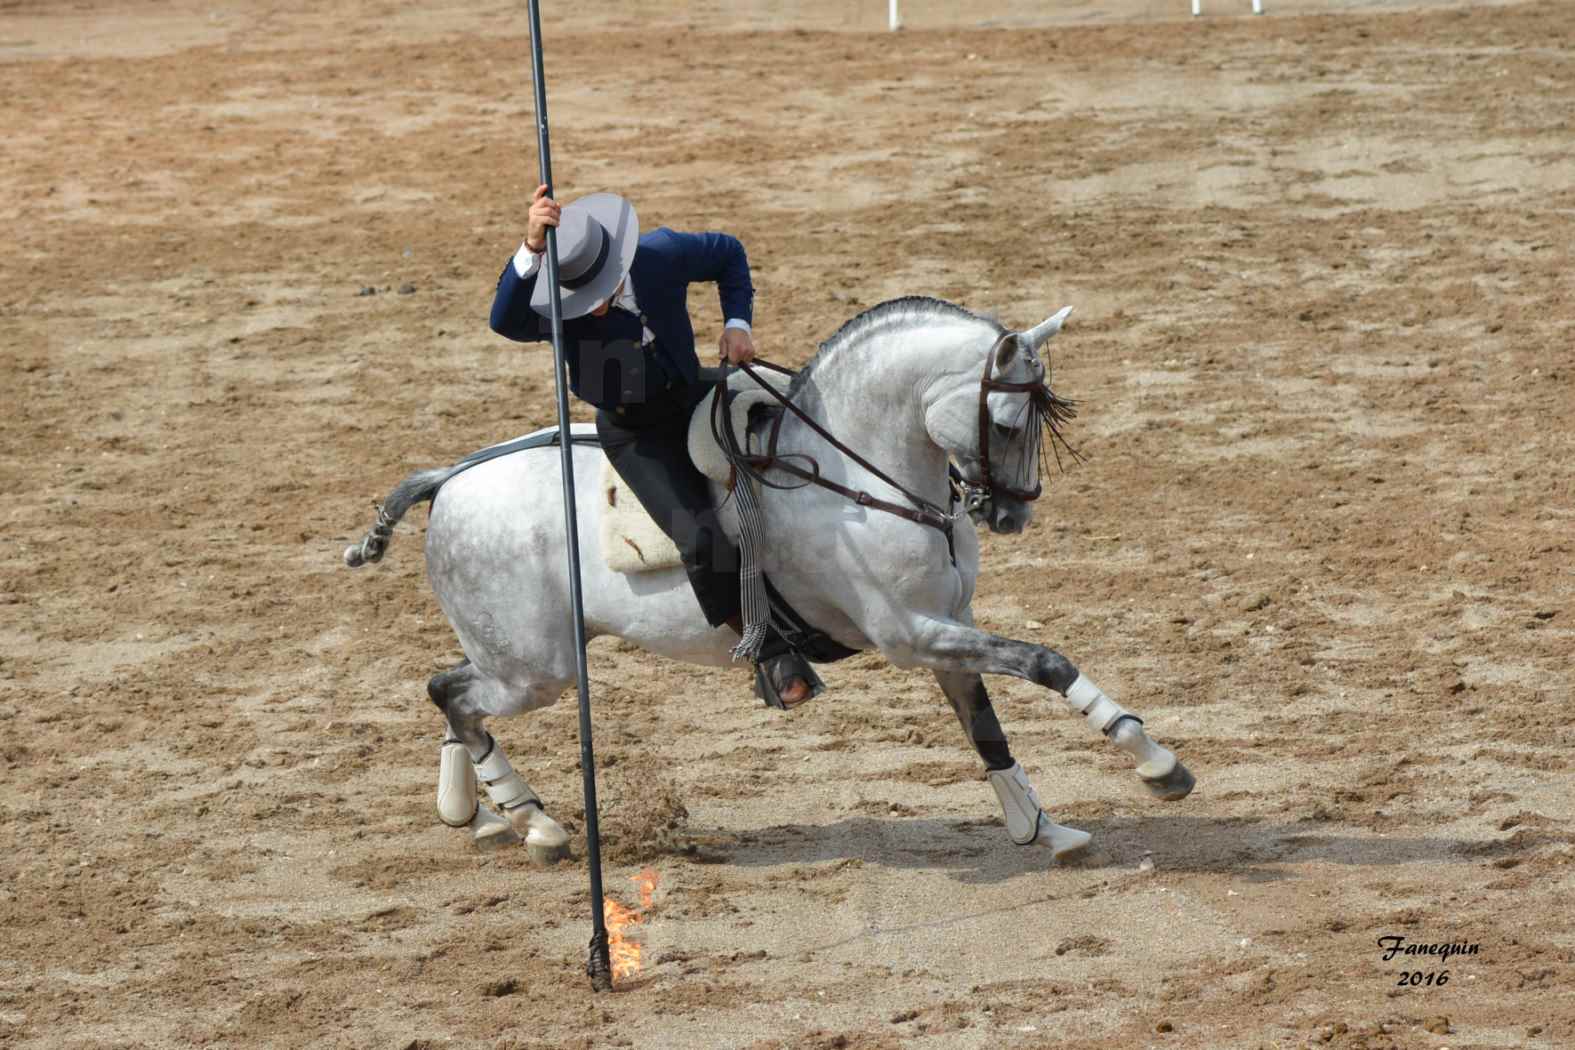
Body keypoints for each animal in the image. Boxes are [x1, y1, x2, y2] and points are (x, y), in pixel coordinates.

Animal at [344, 295, 1190, 862]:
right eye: (1010, 425)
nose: (1011, 514)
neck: (860, 473)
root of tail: (449, 479)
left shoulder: (948, 628)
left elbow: (983, 724)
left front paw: (1040, 826)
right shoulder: (912, 636)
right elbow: (1046, 663)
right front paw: (1157, 766)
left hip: (517, 658)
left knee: (450, 694)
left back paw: (477, 813)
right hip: (536, 669)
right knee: (453, 694)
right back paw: (536, 822)